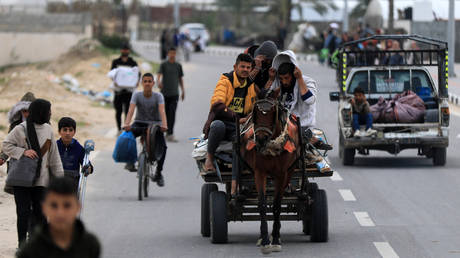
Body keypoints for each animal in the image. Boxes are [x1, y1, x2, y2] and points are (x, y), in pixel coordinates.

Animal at [241, 89, 302, 254]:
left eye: (273, 112)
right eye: (255, 112)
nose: (261, 139)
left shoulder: (281, 174)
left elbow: (276, 206)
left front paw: (274, 239)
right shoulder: (259, 172)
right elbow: (262, 204)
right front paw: (265, 240)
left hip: (289, 171)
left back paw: (278, 234)